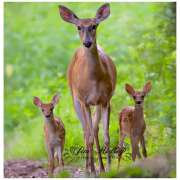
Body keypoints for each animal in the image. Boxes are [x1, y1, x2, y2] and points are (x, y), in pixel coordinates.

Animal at [58, 3, 116, 174]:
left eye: (94, 25)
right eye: (78, 27)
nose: (87, 43)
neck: (94, 79)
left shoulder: (105, 100)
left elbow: (106, 136)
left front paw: (108, 168)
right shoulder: (84, 101)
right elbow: (89, 135)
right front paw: (92, 171)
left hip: (96, 104)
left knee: (94, 131)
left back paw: (100, 168)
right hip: (75, 98)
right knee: (85, 131)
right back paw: (88, 168)